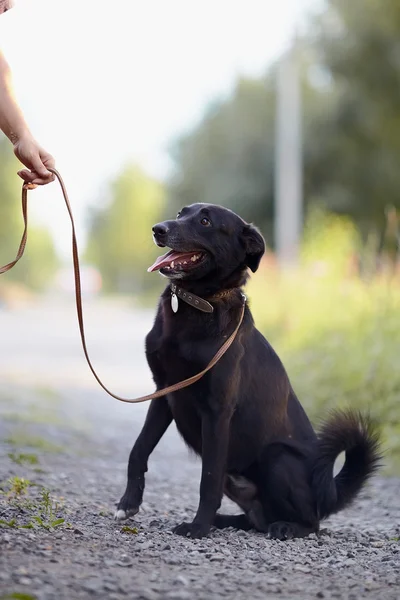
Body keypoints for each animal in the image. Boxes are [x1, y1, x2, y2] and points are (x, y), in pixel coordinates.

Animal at [113, 204, 382, 540]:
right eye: (180, 213)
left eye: (205, 221)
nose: (158, 229)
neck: (199, 303)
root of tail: (327, 494)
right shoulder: (164, 393)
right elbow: (138, 450)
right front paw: (128, 502)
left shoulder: (217, 411)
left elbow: (208, 480)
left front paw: (197, 528)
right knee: (255, 519)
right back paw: (225, 521)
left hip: (277, 458)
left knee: (311, 523)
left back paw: (284, 527)